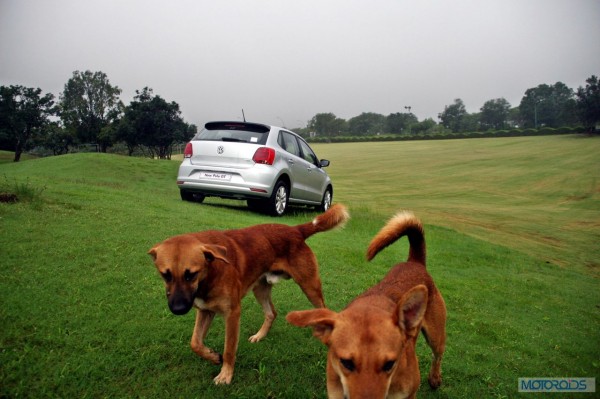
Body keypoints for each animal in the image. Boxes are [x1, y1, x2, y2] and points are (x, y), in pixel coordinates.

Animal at [147, 205, 350, 386]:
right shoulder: (205, 311)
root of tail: (295, 230)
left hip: (310, 286)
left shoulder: (232, 314)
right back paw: (260, 335)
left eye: (191, 274)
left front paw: (226, 374)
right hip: (260, 289)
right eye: (165, 275)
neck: (211, 270)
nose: (178, 309)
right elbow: (195, 343)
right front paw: (213, 356)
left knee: (325, 310)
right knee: (271, 313)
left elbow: (229, 349)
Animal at [286, 211, 446, 398]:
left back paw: (435, 377)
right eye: (346, 363)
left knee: (437, 355)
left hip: (436, 337)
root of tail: (414, 262)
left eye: (389, 364)